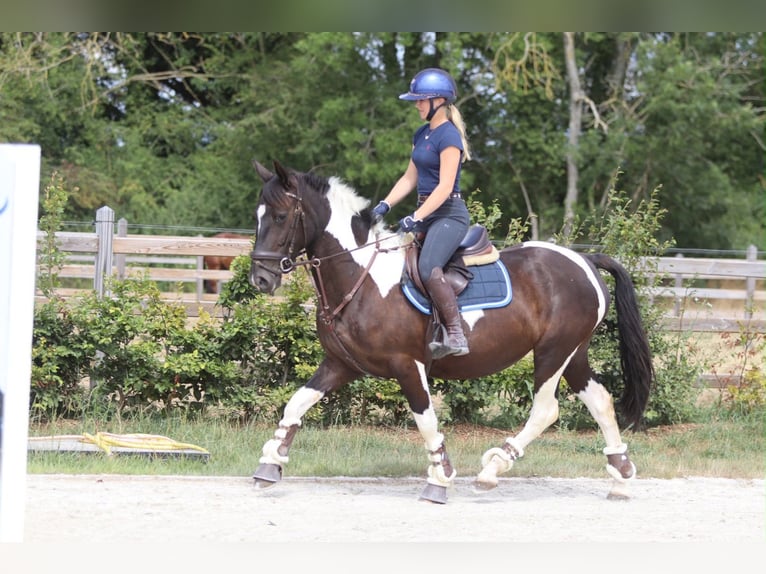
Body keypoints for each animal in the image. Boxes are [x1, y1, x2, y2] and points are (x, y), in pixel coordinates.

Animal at [247, 159, 654, 504]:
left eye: (281, 216)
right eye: (258, 217)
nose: (260, 279)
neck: (361, 276)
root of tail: (584, 259)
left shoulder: (408, 365)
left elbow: (425, 419)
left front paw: (439, 478)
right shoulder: (340, 364)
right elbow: (296, 403)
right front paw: (271, 461)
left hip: (554, 352)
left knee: (545, 409)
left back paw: (493, 469)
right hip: (574, 353)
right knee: (600, 400)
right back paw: (620, 477)